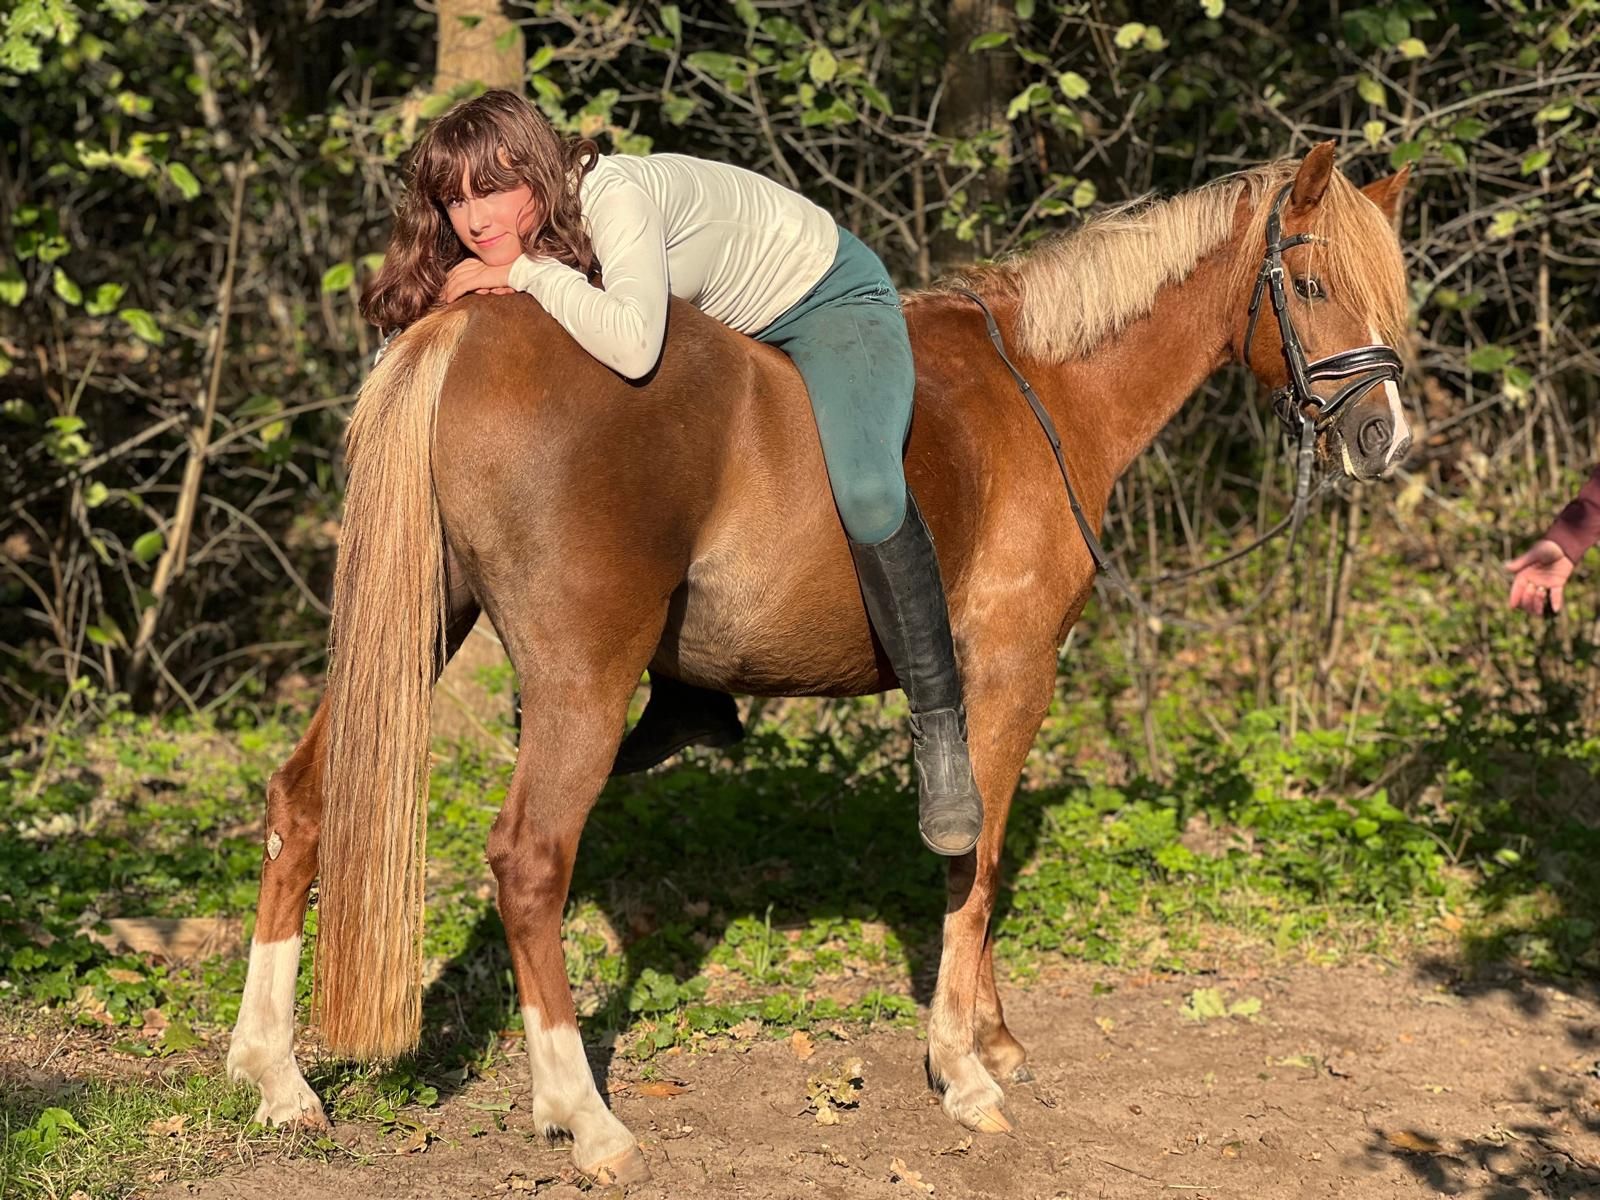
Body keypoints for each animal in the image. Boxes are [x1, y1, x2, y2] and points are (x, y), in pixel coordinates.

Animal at [224, 143, 1413, 1184]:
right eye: (1311, 282)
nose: (1383, 439)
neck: (1042, 386)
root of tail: (465, 331)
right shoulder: (1008, 673)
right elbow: (974, 859)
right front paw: (963, 1069)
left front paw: (992, 1034)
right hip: (577, 682)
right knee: (528, 863)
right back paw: (584, 1116)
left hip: (421, 631)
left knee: (303, 802)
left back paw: (275, 1076)